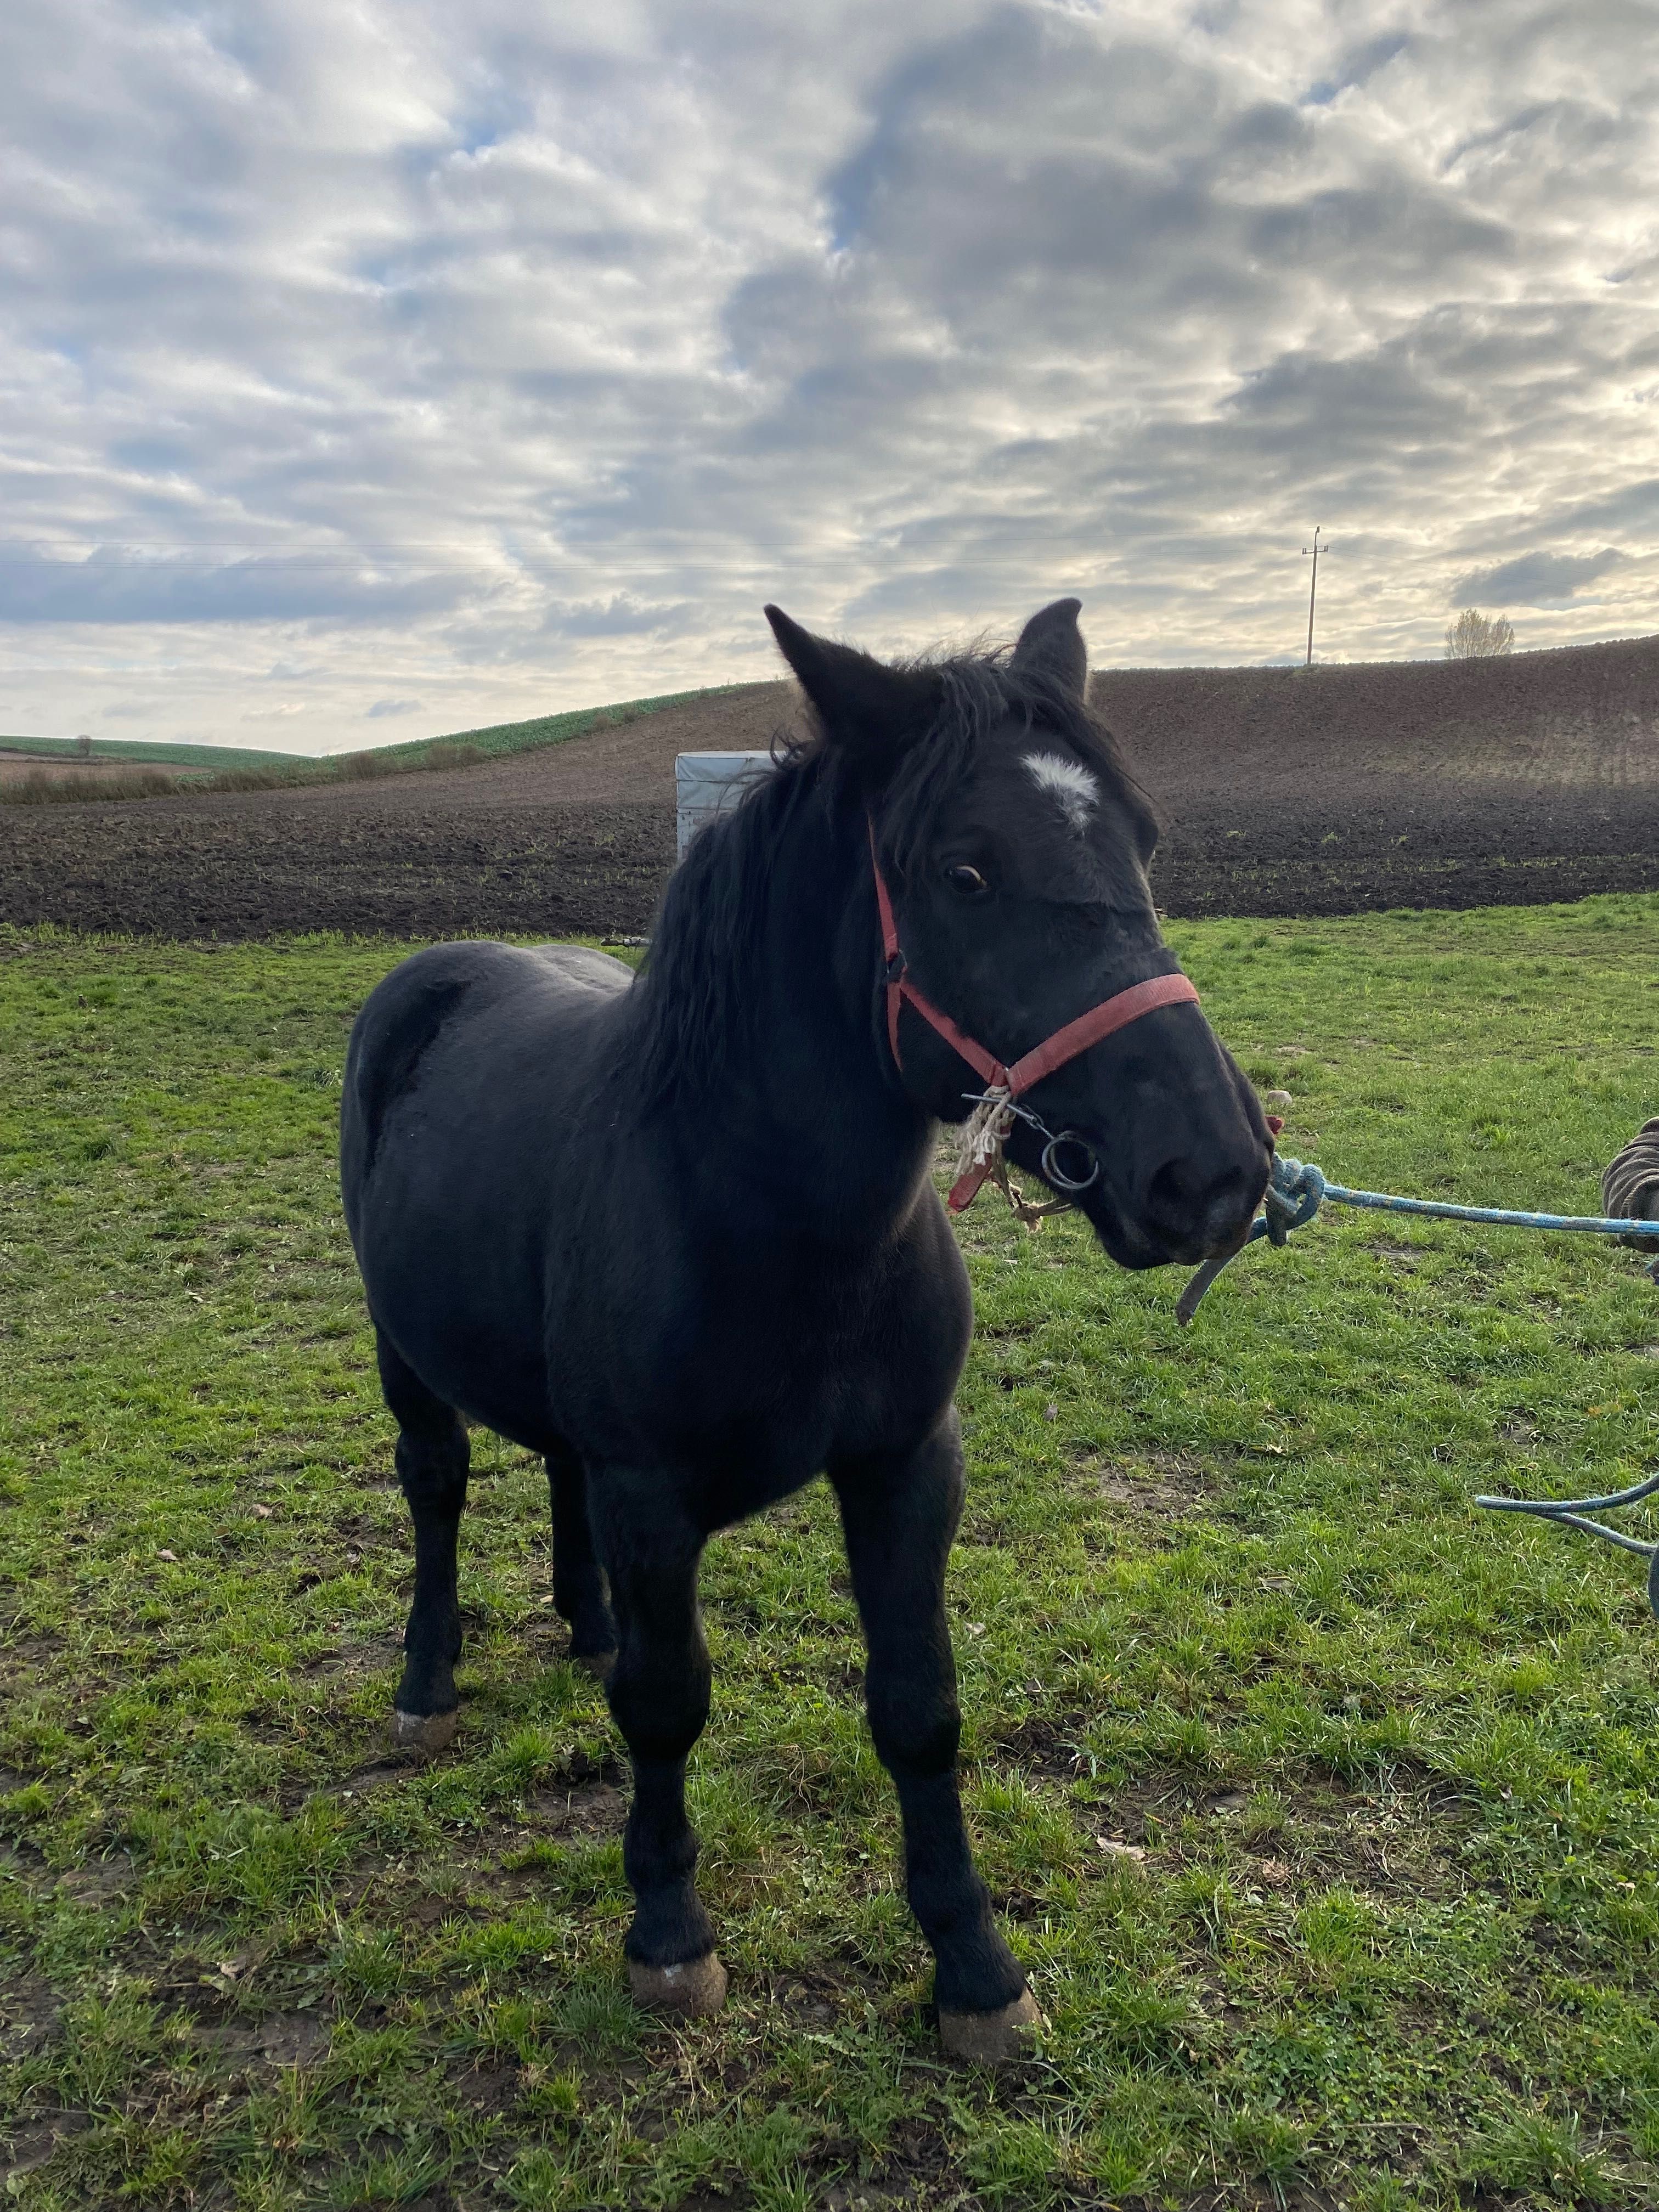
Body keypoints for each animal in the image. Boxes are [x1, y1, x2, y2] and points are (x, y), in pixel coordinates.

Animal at [340, 601, 1274, 2052]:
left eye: (1144, 840)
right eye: (965, 872)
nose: (1215, 1170)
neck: (765, 1213)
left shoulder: (905, 1469)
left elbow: (919, 1710)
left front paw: (975, 1968)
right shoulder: (653, 1498)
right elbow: (668, 1707)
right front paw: (668, 1934)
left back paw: (585, 1624)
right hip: (407, 1361)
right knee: (435, 1488)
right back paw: (427, 1683)